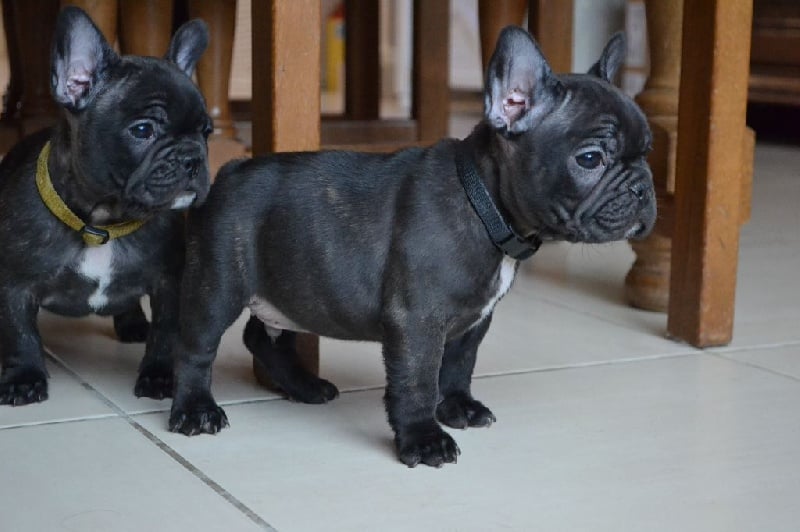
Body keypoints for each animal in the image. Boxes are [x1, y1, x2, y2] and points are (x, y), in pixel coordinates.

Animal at [0, 7, 211, 406]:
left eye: (207, 132)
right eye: (143, 130)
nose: (193, 158)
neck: (102, 222)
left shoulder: (169, 283)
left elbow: (165, 333)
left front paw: (159, 376)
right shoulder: (14, 286)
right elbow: (21, 335)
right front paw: (24, 378)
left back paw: (132, 323)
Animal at [168, 27, 656, 468]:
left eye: (648, 151)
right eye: (590, 159)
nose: (643, 189)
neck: (483, 203)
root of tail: (230, 169)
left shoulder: (473, 320)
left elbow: (457, 366)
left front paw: (458, 407)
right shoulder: (417, 320)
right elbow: (418, 380)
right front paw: (424, 439)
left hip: (292, 286)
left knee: (262, 337)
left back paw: (304, 386)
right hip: (218, 285)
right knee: (195, 347)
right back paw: (194, 410)